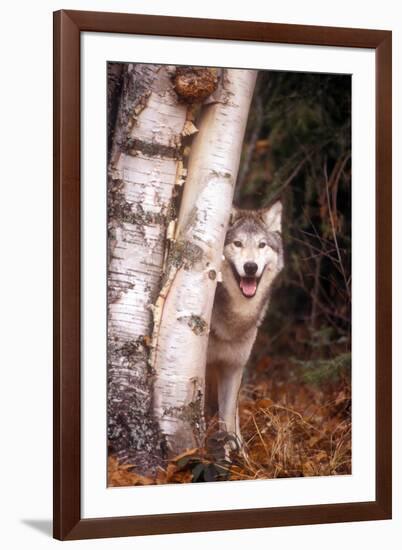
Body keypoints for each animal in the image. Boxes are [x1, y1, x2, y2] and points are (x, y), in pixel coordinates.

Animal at [206, 203, 284, 452]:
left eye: (262, 245)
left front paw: (236, 452)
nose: (250, 267)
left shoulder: (233, 367)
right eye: (237, 243)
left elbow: (229, 416)